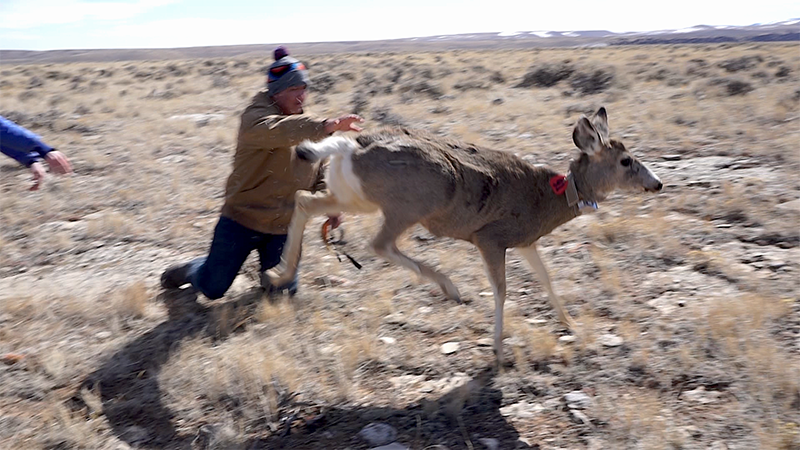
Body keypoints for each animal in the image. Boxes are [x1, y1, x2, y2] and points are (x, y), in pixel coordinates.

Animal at [264, 107, 664, 364]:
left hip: (355, 196)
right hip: (409, 204)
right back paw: (450, 287)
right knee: (378, 244)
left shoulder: (525, 241)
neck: (547, 198)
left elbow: (546, 278)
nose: (657, 183)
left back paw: (278, 272)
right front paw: (498, 351)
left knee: (304, 202)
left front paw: (570, 323)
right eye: (626, 161)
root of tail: (350, 145)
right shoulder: (491, 238)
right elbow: (501, 291)